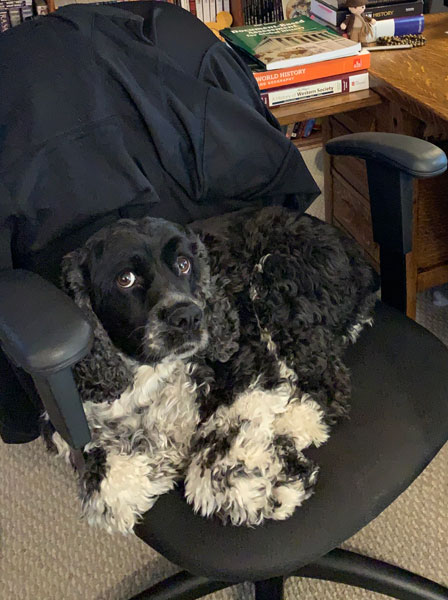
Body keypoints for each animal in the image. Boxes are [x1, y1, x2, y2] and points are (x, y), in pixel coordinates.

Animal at [43, 207, 378, 536]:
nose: (188, 316)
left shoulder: (251, 360)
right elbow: (111, 487)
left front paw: (269, 482)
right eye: (125, 278)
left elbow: (224, 443)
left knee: (327, 383)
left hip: (276, 278)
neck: (151, 373)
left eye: (184, 264)